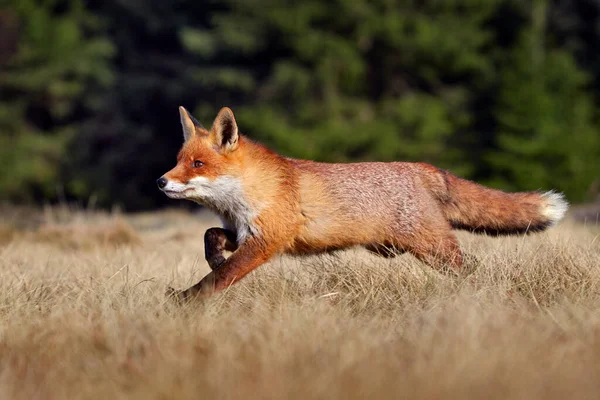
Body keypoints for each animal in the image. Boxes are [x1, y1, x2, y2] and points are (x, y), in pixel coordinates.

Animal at [157, 106, 568, 300]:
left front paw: (187, 301)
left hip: (436, 251)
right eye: (178, 160)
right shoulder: (245, 231)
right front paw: (212, 258)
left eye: (198, 164)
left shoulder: (268, 240)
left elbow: (220, 278)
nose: (161, 181)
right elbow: (210, 237)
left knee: (475, 270)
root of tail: (423, 167)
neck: (249, 193)